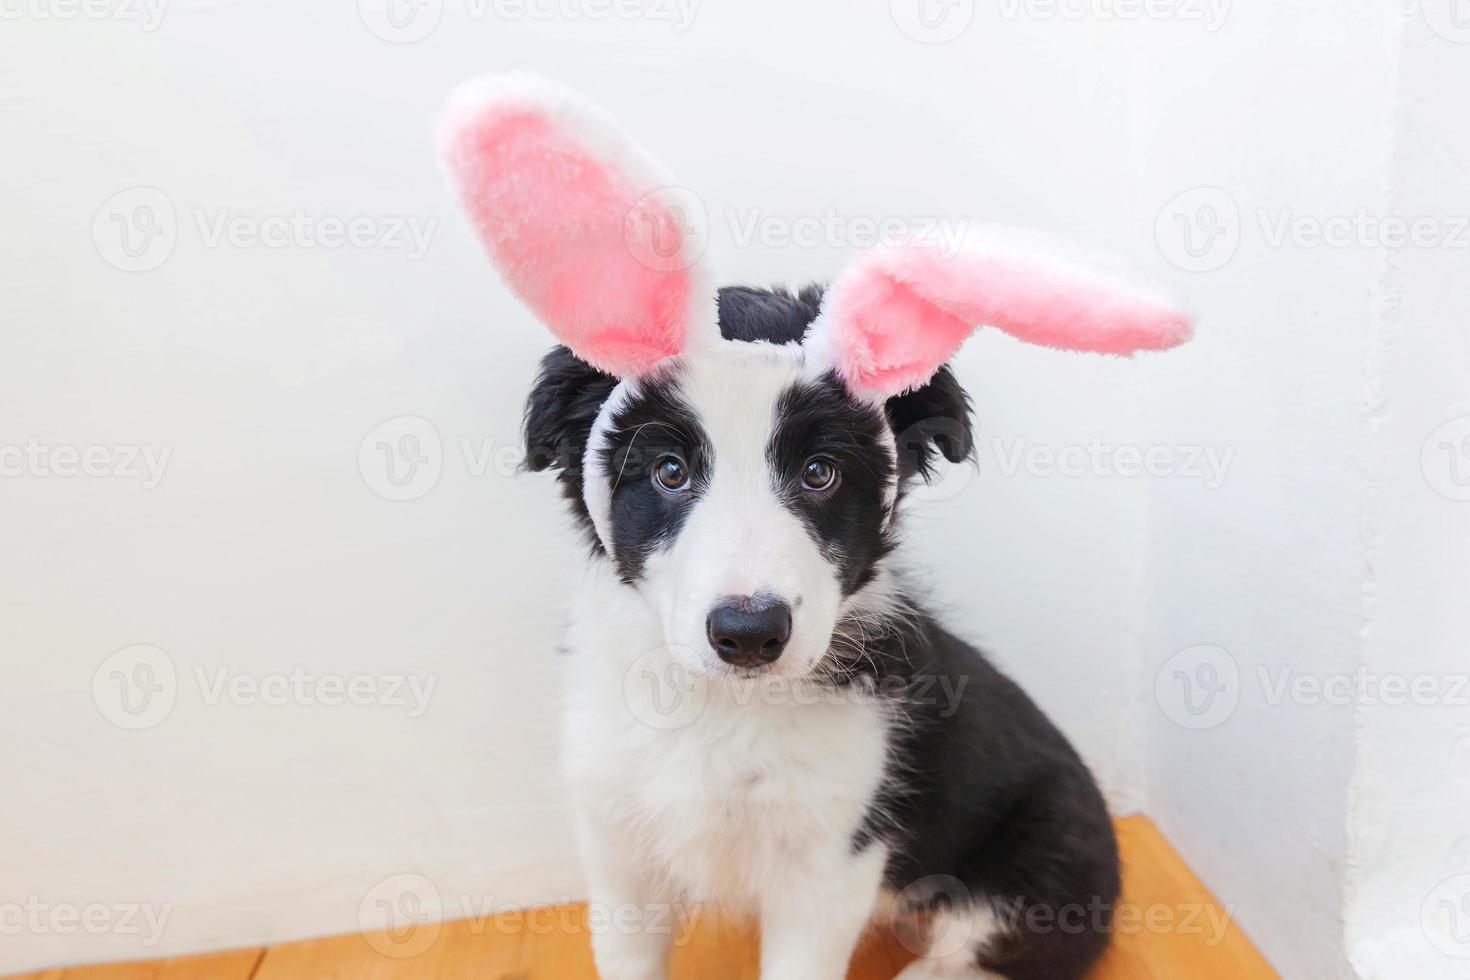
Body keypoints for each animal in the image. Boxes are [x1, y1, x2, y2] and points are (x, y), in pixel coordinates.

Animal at [435, 72, 1193, 975]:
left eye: (819, 473)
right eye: (669, 471)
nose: (749, 633)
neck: (719, 711)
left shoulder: (831, 863)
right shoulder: (619, 847)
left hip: (1043, 868)